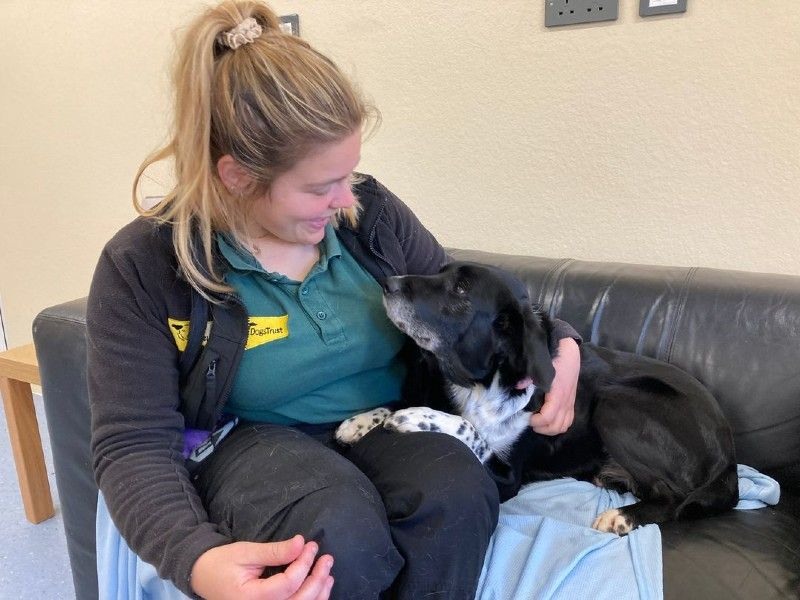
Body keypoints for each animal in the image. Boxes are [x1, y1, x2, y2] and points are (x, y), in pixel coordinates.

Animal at [334, 262, 740, 536]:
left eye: (461, 288)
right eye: (439, 272)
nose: (387, 282)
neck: (479, 382)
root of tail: (727, 457)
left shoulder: (507, 477)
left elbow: (468, 428)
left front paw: (416, 417)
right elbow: (400, 402)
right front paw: (360, 421)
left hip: (615, 403)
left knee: (672, 498)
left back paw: (624, 516)